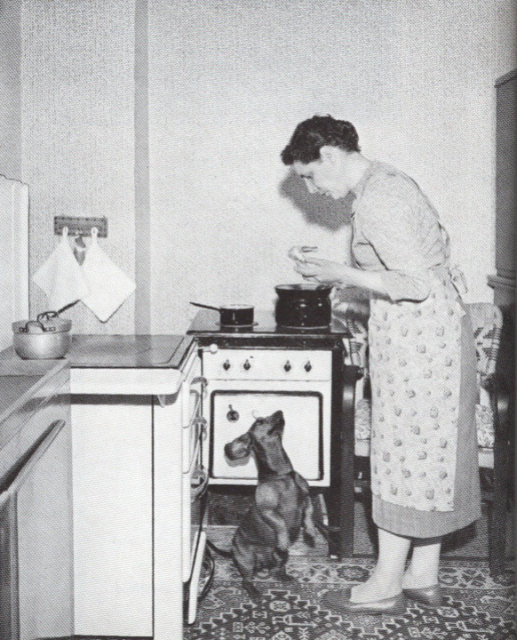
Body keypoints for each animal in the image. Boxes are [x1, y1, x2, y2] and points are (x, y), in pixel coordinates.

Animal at [218, 410, 314, 600]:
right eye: (259, 421)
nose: (280, 411)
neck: (282, 475)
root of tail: (263, 564)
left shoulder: (306, 501)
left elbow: (308, 515)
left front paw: (311, 531)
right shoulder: (269, 511)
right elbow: (281, 525)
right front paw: (284, 539)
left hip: (280, 558)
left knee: (278, 569)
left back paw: (284, 576)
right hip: (247, 559)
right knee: (246, 581)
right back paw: (254, 592)